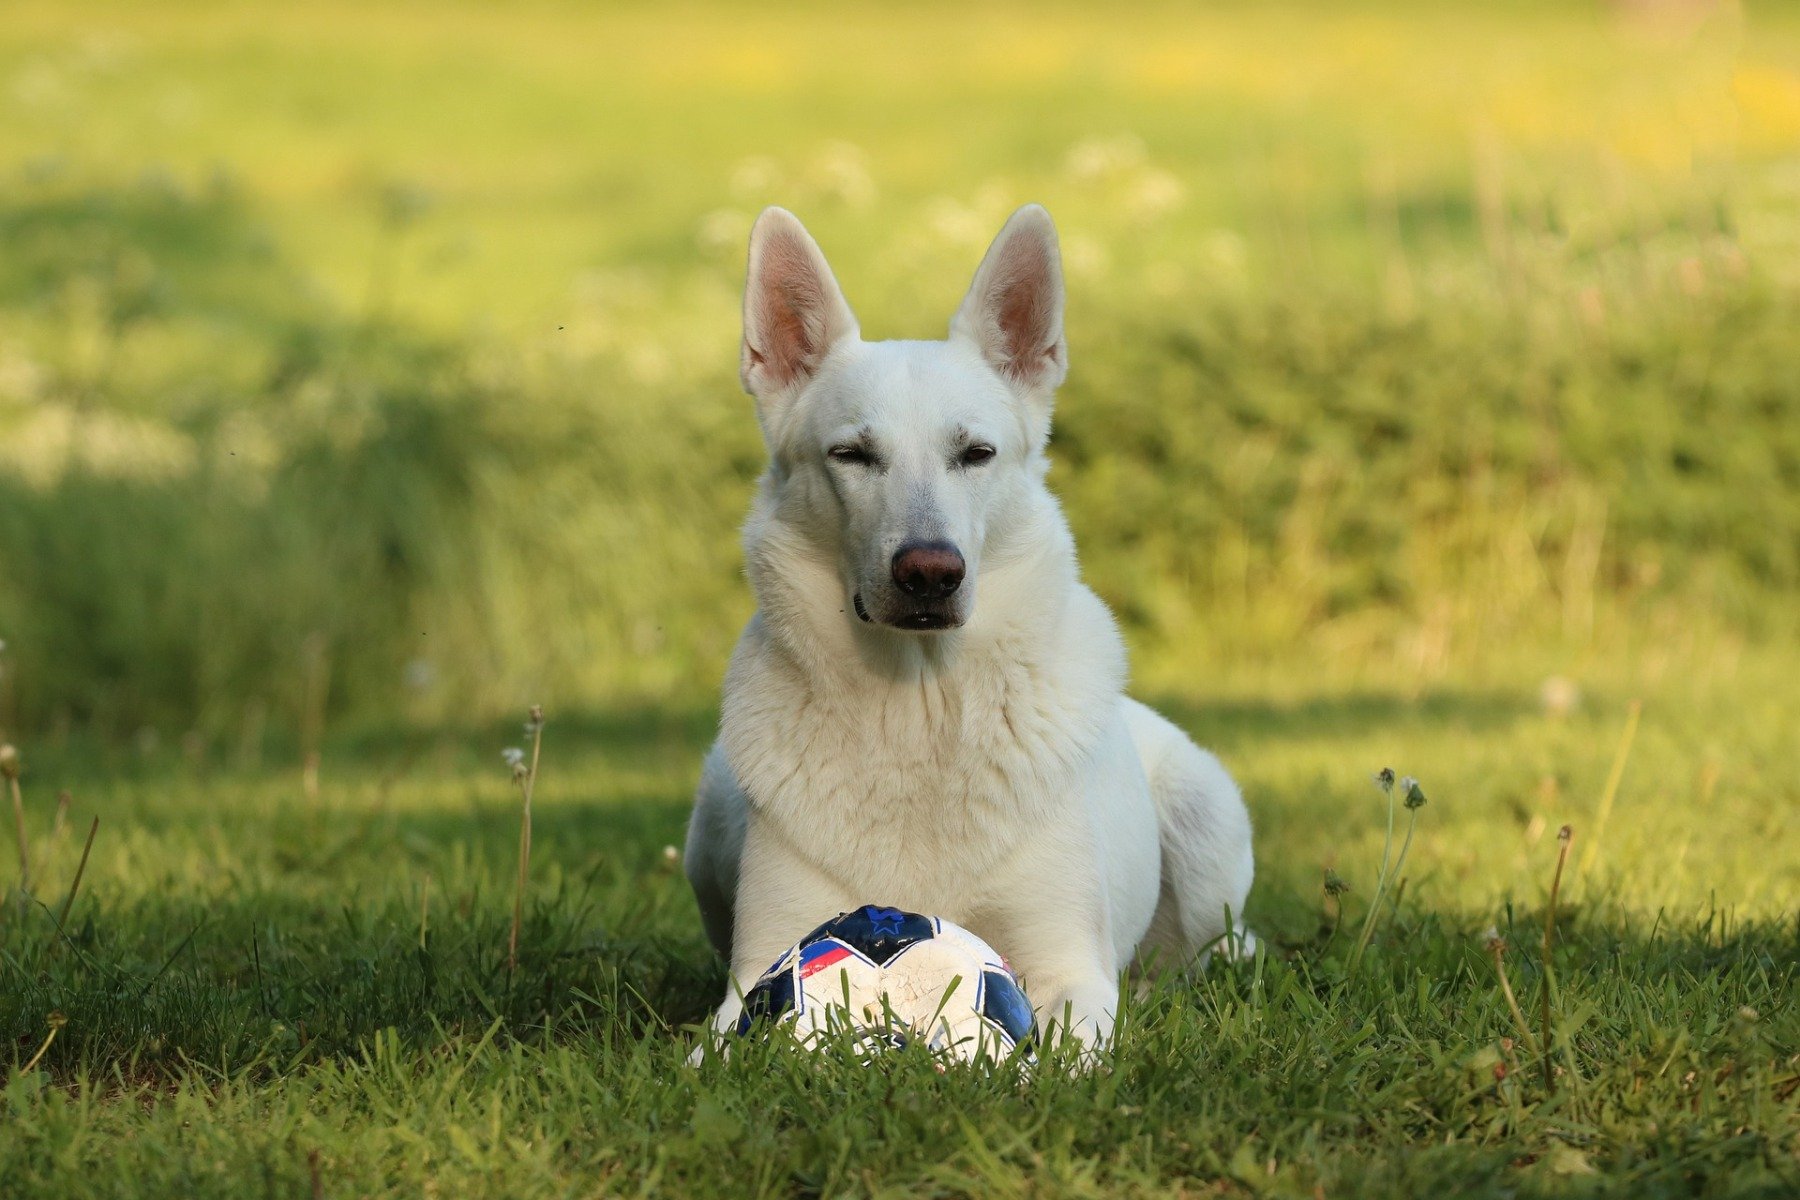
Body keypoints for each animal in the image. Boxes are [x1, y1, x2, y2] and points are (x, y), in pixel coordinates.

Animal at [680, 206, 1260, 1050]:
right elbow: (721, 1046)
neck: (917, 706)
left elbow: (1062, 1047)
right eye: (852, 455)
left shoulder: (1067, 968)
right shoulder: (756, 976)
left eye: (975, 454)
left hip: (1205, 823)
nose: (930, 573)